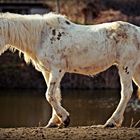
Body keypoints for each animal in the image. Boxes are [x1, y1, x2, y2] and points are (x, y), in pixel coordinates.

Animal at [0, 12, 140, 128]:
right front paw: (54, 122)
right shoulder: (47, 71)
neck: (42, 36)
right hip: (135, 69)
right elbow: (56, 95)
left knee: (126, 92)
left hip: (126, 66)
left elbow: (50, 95)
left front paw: (65, 119)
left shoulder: (57, 69)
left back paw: (111, 122)